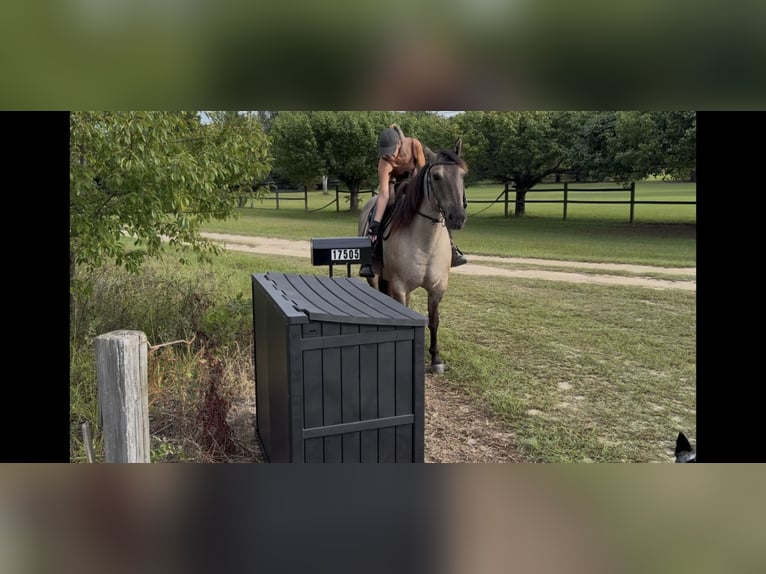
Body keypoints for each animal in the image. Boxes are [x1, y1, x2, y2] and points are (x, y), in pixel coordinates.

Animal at [358, 138, 468, 374]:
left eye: (463, 175)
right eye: (437, 176)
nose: (457, 217)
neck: (426, 243)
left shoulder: (437, 288)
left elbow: (433, 320)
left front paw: (436, 359)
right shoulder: (400, 286)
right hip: (375, 276)